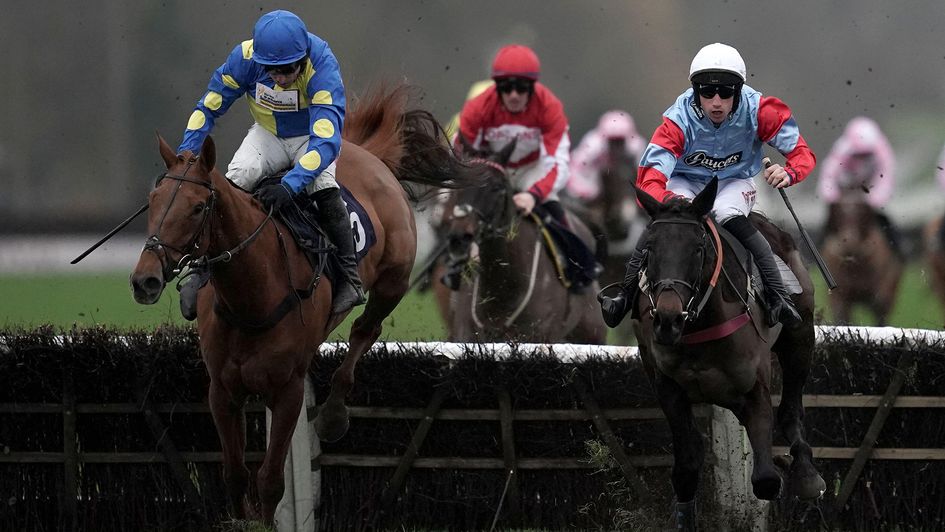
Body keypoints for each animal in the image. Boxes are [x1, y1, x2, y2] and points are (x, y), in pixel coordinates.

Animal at [131, 84, 486, 524]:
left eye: (197, 207)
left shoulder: (287, 391)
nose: (144, 279)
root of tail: (364, 150)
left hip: (392, 282)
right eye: (154, 199)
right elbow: (235, 473)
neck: (251, 297)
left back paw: (333, 414)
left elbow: (270, 480)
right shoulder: (222, 390)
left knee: (364, 330)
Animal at [632, 178, 824, 528]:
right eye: (649, 249)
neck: (699, 328)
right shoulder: (669, 389)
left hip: (800, 337)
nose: (667, 319)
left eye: (698, 248)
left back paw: (805, 474)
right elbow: (686, 470)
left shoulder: (754, 389)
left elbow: (765, 480)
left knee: (791, 408)